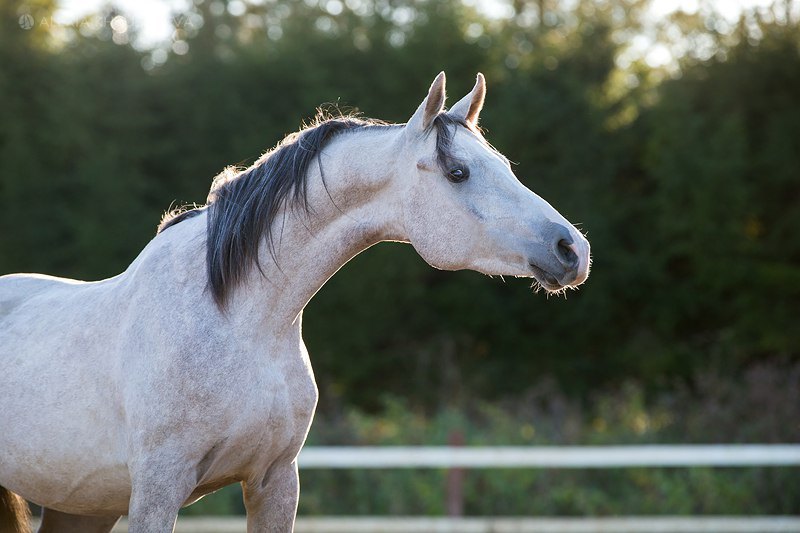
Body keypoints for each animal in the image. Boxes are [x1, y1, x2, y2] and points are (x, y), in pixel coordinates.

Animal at [0, 74, 588, 532]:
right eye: (458, 172)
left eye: (504, 165)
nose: (572, 250)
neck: (239, 320)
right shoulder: (157, 490)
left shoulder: (276, 481)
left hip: (80, 505)